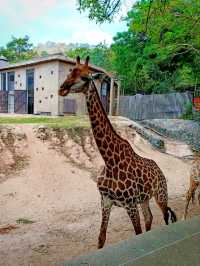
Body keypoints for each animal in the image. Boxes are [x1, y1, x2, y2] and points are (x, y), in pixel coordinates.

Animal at [58, 56, 177, 249]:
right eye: (70, 72)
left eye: (85, 77)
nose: (62, 89)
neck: (109, 161)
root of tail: (159, 169)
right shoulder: (105, 201)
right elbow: (101, 237)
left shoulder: (130, 204)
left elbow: (137, 233)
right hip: (144, 199)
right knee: (150, 217)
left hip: (160, 194)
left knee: (166, 216)